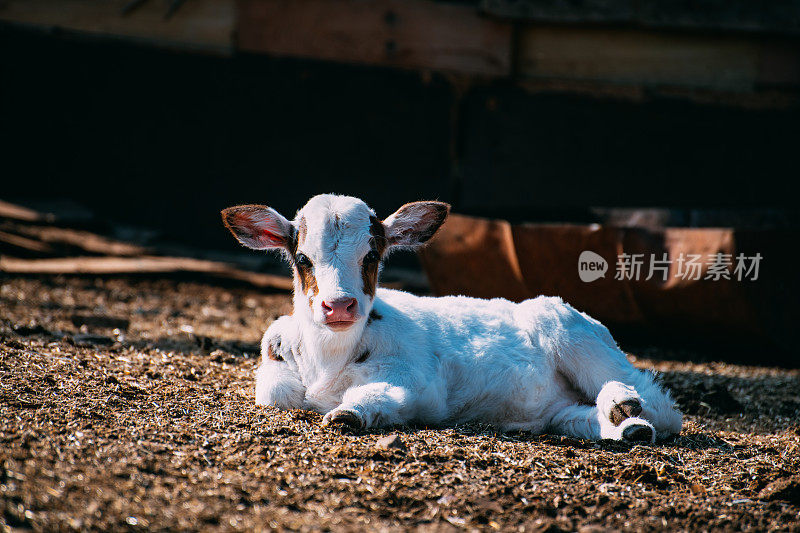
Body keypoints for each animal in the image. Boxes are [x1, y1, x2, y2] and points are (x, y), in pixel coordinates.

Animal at [220, 194, 680, 440]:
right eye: (302, 258)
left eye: (372, 256)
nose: (339, 306)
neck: (329, 360)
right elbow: (277, 391)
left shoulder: (418, 381)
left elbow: (376, 396)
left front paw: (347, 414)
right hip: (558, 408)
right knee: (581, 416)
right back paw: (625, 425)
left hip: (569, 331)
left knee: (663, 405)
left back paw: (623, 401)